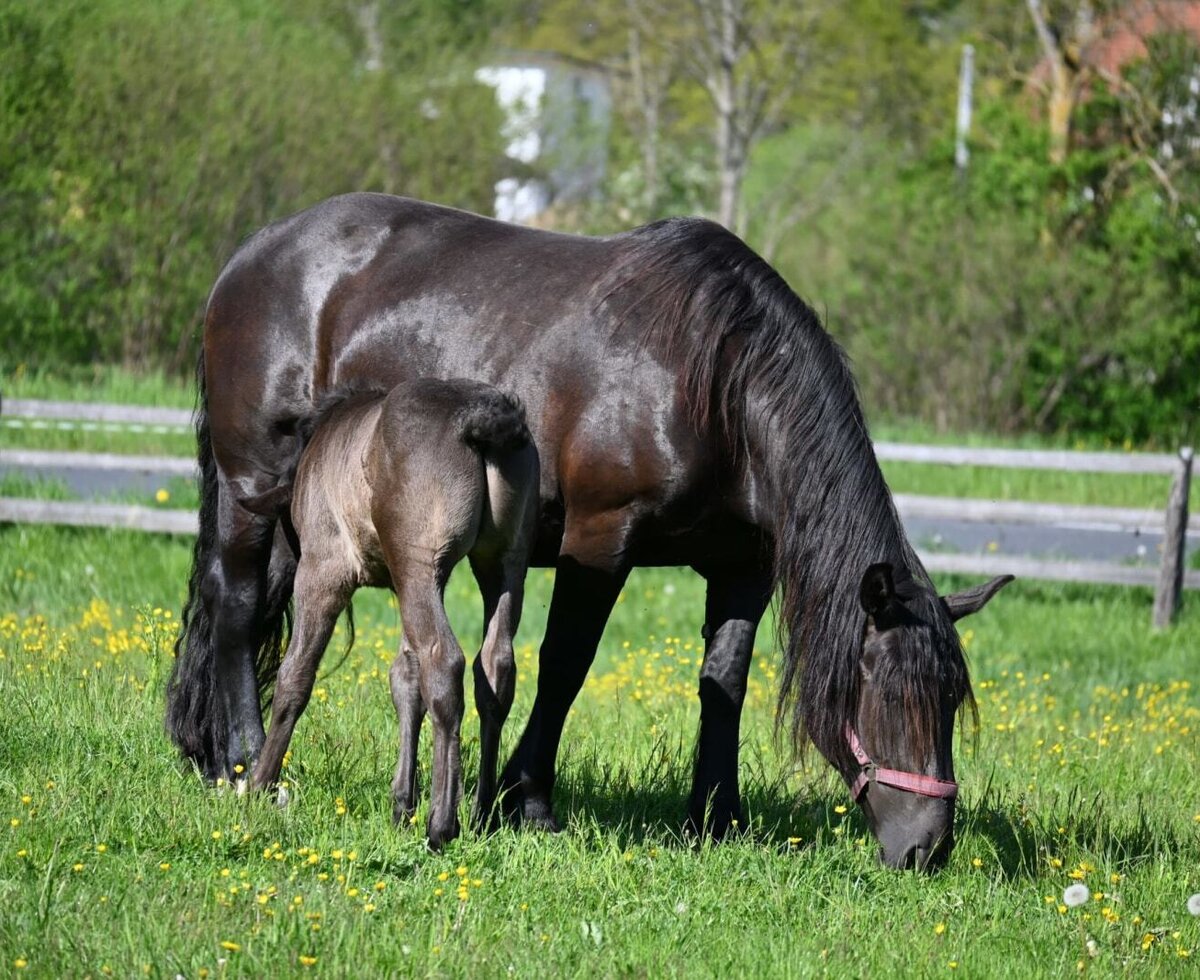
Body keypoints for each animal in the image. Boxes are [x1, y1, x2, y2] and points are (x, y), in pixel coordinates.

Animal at [242, 378, 539, 848]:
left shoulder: (325, 569)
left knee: (444, 661)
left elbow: (297, 674)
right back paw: (481, 814)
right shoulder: (414, 580)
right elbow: (405, 679)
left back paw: (442, 824)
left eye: (285, 527)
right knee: (494, 667)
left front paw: (260, 785)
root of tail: (481, 415)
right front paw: (402, 803)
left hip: (418, 560)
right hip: (502, 562)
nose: (275, 569)